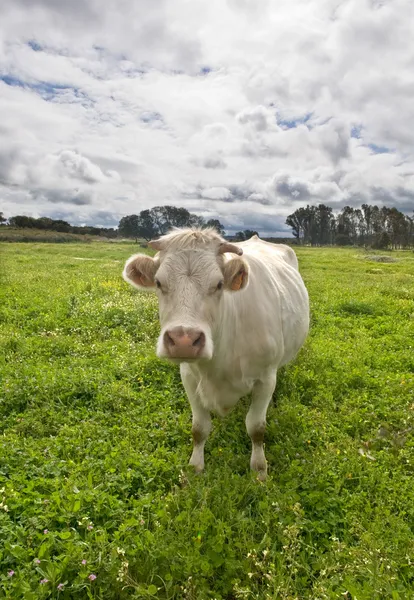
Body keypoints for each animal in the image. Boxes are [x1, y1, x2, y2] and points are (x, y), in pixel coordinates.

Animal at [123, 227, 310, 480]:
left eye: (219, 284)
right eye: (159, 282)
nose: (183, 340)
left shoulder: (266, 378)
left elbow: (256, 427)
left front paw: (260, 470)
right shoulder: (189, 377)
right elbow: (199, 427)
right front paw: (195, 467)